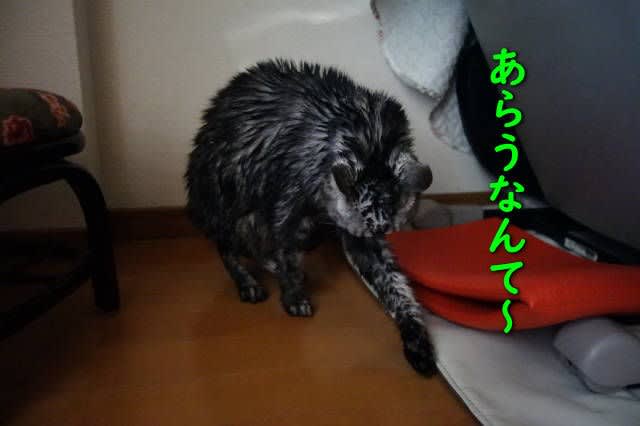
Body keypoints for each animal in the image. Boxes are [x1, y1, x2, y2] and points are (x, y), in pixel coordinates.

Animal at [185, 59, 436, 376]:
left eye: (382, 231)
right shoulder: (288, 205)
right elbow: (288, 254)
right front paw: (294, 298)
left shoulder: (365, 240)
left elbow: (395, 286)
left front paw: (416, 338)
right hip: (232, 203)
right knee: (229, 248)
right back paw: (249, 282)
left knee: (259, 247)